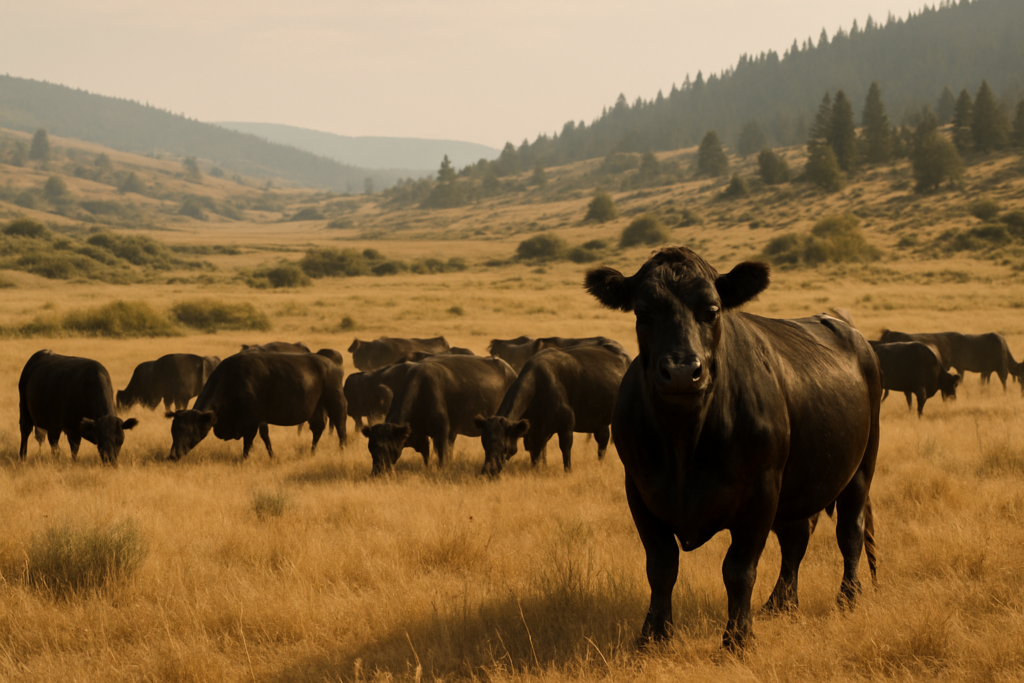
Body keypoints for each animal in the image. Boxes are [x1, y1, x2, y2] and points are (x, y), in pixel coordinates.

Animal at [166, 352, 347, 461]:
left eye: (189, 430)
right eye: (173, 431)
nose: (172, 456)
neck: (233, 380)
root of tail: (332, 365)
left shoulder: (251, 421)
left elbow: (248, 441)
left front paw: (244, 459)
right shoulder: (261, 419)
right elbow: (265, 437)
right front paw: (272, 456)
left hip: (335, 401)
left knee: (340, 426)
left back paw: (342, 449)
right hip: (317, 408)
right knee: (318, 428)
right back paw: (312, 452)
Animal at [361, 355, 516, 475]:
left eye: (389, 448)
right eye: (371, 448)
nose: (377, 472)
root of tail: (511, 370)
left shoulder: (441, 433)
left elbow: (443, 455)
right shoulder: (423, 436)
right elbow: (427, 456)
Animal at [475, 343, 631, 476]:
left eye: (504, 446)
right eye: (484, 444)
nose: (488, 471)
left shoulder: (566, 426)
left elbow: (565, 448)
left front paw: (567, 471)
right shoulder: (534, 430)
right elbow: (535, 451)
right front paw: (535, 469)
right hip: (599, 420)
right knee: (603, 439)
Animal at [584, 247, 881, 651]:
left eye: (711, 310)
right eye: (643, 313)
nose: (681, 372)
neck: (685, 441)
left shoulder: (760, 492)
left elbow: (738, 570)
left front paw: (737, 640)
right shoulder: (640, 491)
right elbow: (660, 566)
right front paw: (653, 636)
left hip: (860, 469)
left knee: (849, 532)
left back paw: (847, 598)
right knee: (796, 539)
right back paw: (780, 604)